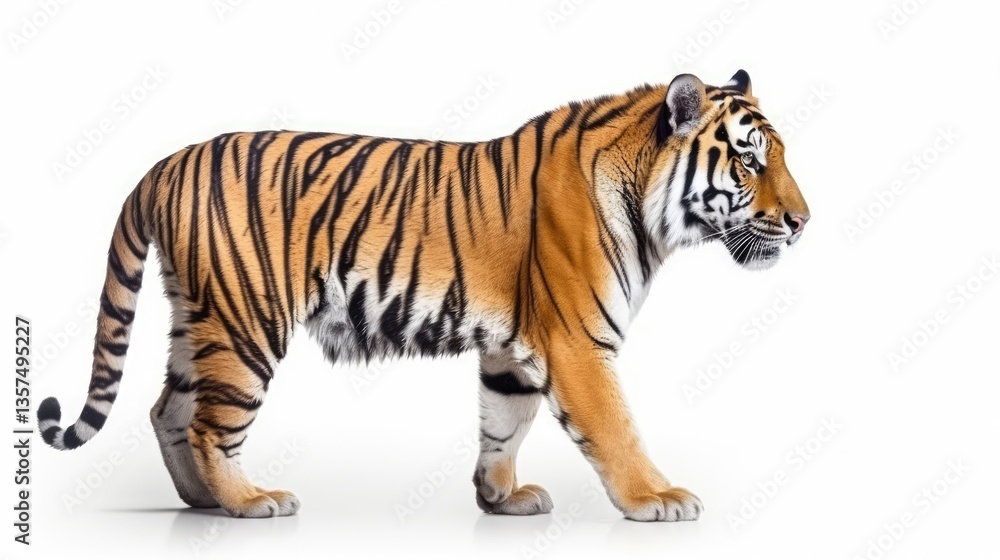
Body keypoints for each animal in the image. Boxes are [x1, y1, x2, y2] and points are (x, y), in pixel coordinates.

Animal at [38, 70, 809, 521]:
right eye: (749, 161)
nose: (804, 221)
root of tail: (166, 163)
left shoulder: (514, 350)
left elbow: (503, 422)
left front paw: (501, 497)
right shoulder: (578, 342)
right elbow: (615, 427)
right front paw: (657, 497)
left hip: (197, 317)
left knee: (166, 408)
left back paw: (200, 501)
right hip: (244, 324)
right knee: (207, 423)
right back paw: (249, 500)